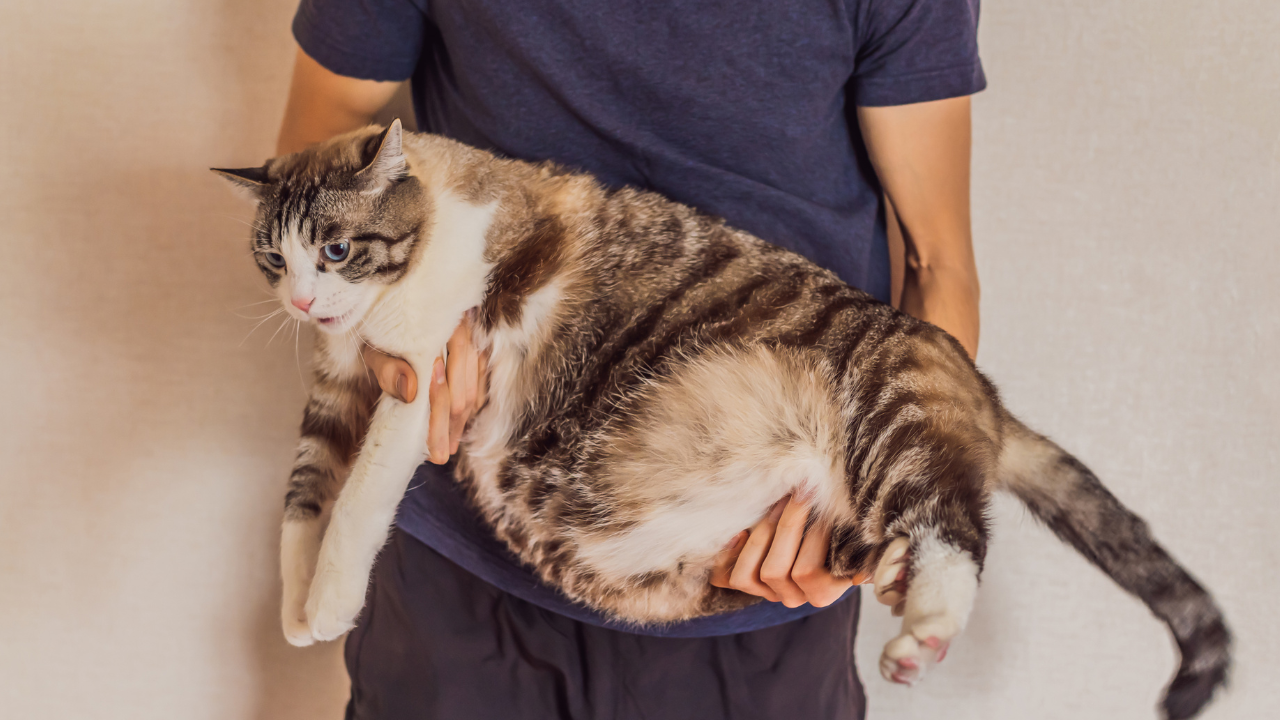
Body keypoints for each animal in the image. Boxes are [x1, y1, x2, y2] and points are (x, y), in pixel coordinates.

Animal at [217, 120, 1228, 712]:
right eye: (273, 259)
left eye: (337, 249)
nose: (302, 302)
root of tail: (974, 382)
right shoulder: (338, 386)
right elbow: (304, 489)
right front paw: (296, 607)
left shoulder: (424, 376)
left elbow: (357, 501)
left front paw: (329, 599)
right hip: (841, 528)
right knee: (900, 539)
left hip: (892, 411)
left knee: (955, 530)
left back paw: (925, 635)